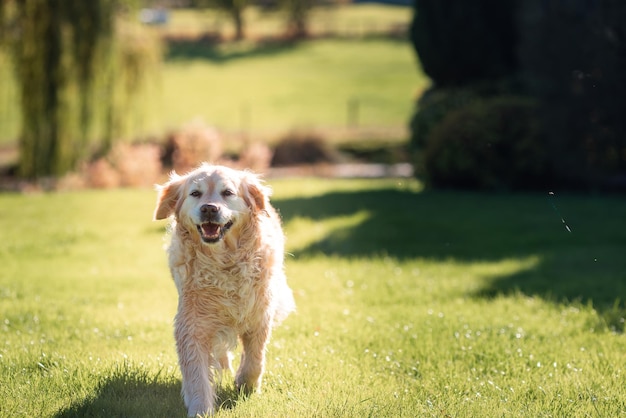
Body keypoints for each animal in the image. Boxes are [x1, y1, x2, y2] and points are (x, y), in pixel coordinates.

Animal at [154, 165, 294, 416]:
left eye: (227, 192)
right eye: (195, 193)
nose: (209, 208)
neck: (224, 262)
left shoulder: (259, 314)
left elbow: (255, 357)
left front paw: (246, 384)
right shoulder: (192, 324)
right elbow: (196, 373)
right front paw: (200, 408)